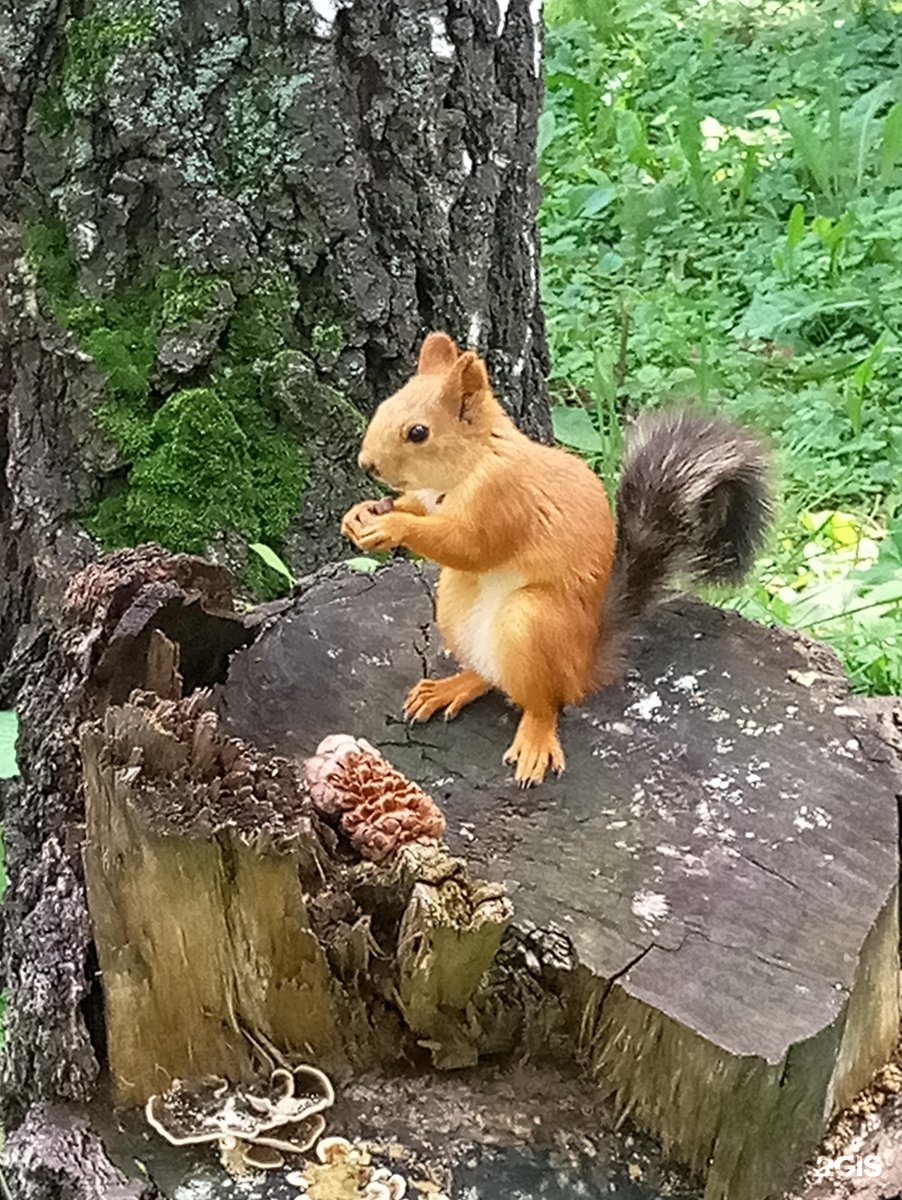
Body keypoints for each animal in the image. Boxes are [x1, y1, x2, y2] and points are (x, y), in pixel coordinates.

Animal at [340, 333, 772, 792]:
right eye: (386, 405)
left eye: (418, 432)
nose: (367, 464)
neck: (470, 466)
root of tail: (583, 665)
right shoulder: (430, 499)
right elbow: (418, 509)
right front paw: (360, 514)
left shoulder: (505, 504)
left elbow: (468, 546)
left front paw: (393, 526)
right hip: (454, 604)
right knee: (491, 677)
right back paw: (450, 687)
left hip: (532, 621)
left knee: (545, 703)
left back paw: (535, 739)